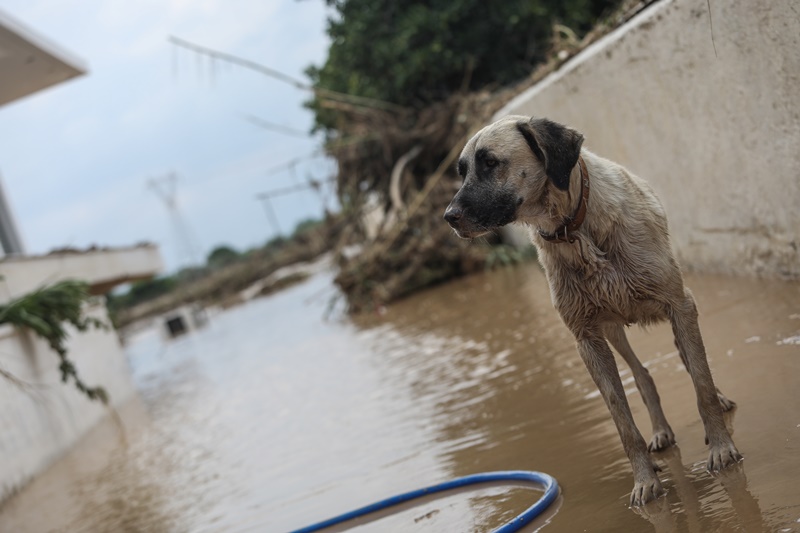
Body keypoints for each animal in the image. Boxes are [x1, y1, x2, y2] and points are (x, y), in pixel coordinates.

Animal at [440, 114, 740, 504]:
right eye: (462, 171)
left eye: (490, 162)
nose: (449, 217)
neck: (575, 229)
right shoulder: (588, 340)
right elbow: (623, 422)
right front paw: (645, 480)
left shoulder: (680, 305)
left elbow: (701, 383)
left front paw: (721, 447)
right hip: (612, 330)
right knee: (642, 375)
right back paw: (660, 431)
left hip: (675, 315)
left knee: (691, 365)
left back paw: (717, 405)